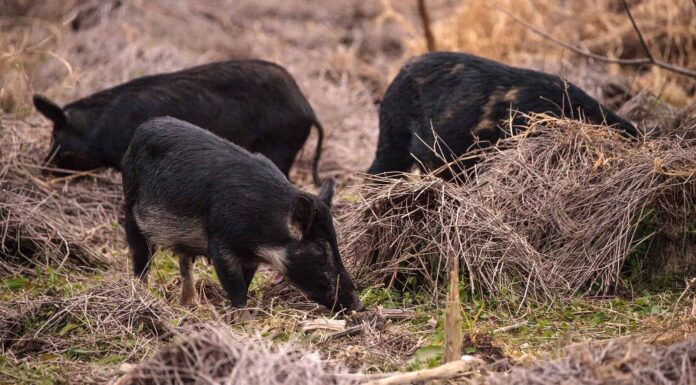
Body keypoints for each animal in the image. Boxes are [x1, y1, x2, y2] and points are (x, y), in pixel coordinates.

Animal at [123, 115, 364, 310]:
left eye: (335, 242)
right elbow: (236, 290)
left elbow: (245, 285)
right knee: (141, 259)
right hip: (130, 206)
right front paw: (241, 319)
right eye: (320, 248)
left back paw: (191, 304)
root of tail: (141, 129)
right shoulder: (220, 244)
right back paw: (142, 296)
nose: (358, 305)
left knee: (184, 260)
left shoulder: (250, 259)